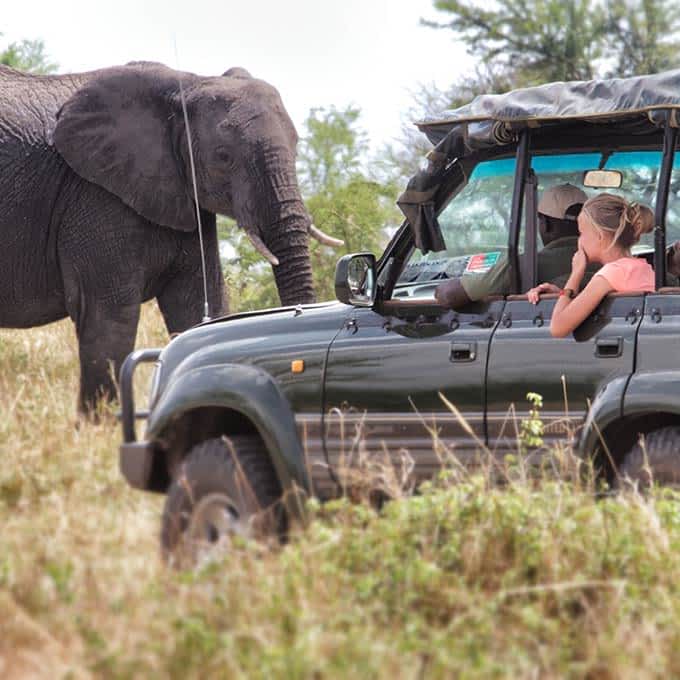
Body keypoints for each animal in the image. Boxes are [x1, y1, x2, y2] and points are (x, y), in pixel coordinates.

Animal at [0, 63, 340, 412]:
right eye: (223, 156)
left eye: (297, 145)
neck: (187, 85)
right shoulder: (94, 196)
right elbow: (109, 317)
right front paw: (102, 423)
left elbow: (199, 303)